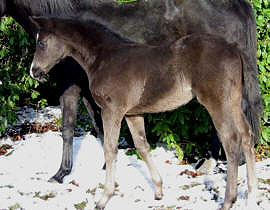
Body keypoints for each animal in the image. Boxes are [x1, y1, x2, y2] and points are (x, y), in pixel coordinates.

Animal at [30, 16, 258, 210]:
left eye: (42, 43)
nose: (34, 71)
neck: (104, 58)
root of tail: (234, 48)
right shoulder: (132, 114)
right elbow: (142, 146)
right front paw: (158, 190)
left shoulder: (112, 111)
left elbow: (110, 150)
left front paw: (104, 199)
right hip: (233, 101)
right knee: (247, 135)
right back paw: (252, 194)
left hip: (217, 102)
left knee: (231, 140)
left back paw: (229, 200)